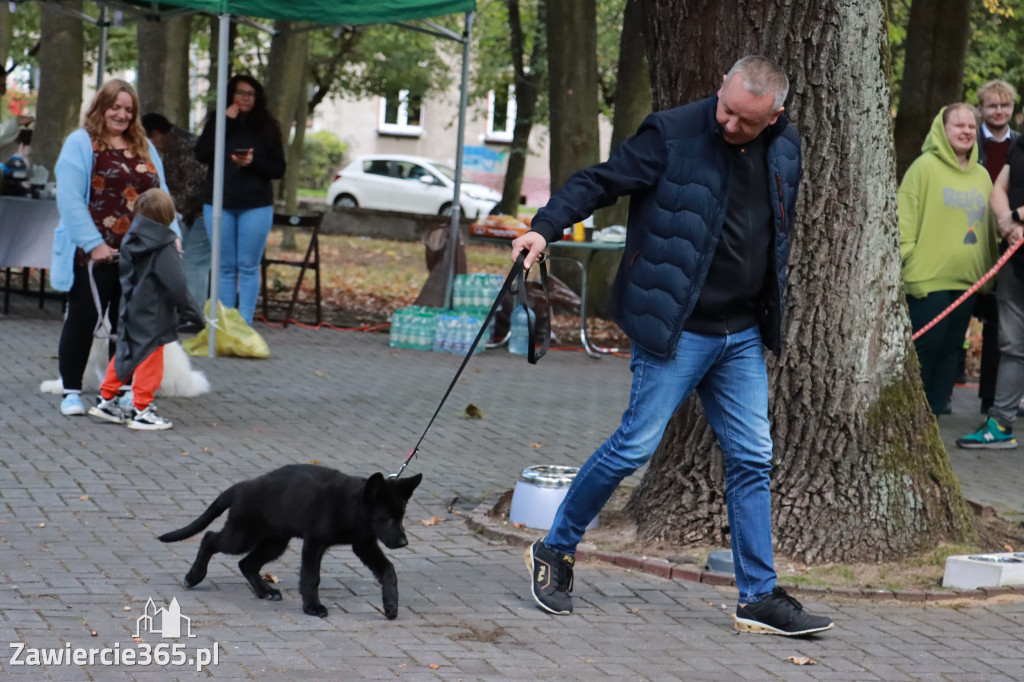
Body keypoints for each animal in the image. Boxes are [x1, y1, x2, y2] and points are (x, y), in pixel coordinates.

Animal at [157, 462, 421, 614]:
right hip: (242, 535)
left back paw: (265, 592)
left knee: (247, 563)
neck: (351, 504)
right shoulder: (314, 543)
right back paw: (194, 576)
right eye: (387, 518)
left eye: (401, 516)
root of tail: (241, 486)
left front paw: (391, 605)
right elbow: (311, 577)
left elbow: (388, 570)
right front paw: (312, 607)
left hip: (275, 542)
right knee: (210, 539)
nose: (404, 543)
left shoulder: (364, 544)